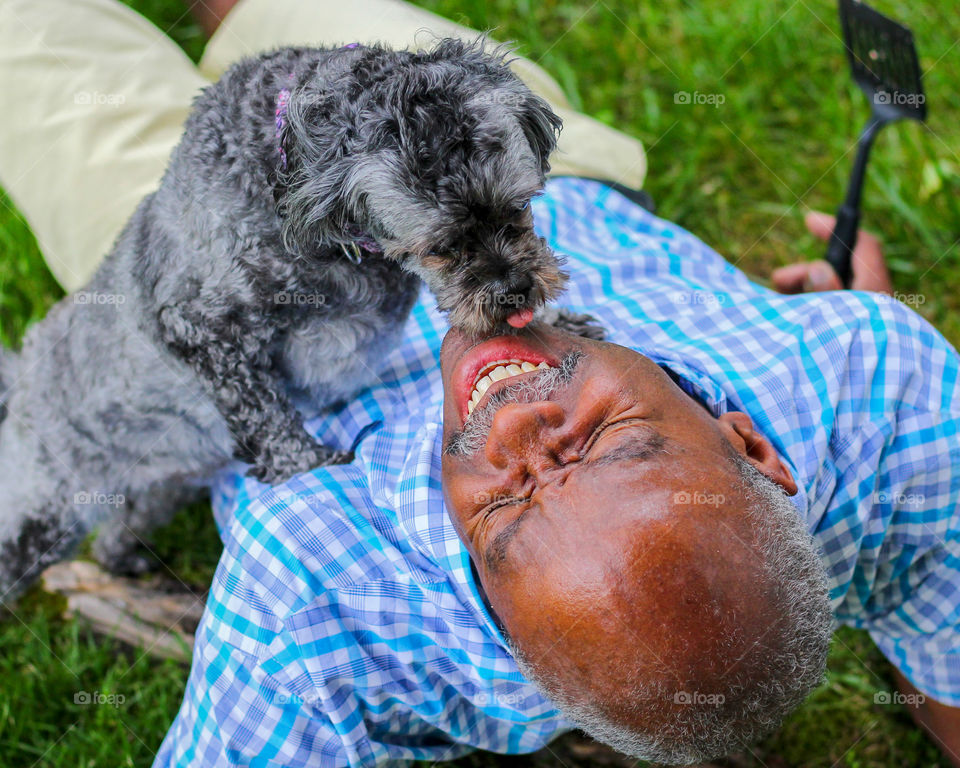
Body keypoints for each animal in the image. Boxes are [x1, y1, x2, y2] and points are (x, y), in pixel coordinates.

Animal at [0, 37, 588, 600]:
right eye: (440, 247)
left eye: (519, 207)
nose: (517, 291)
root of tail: (21, 377)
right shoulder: (202, 327)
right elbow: (267, 414)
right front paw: (307, 465)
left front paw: (562, 327)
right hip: (39, 515)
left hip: (160, 488)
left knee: (116, 535)